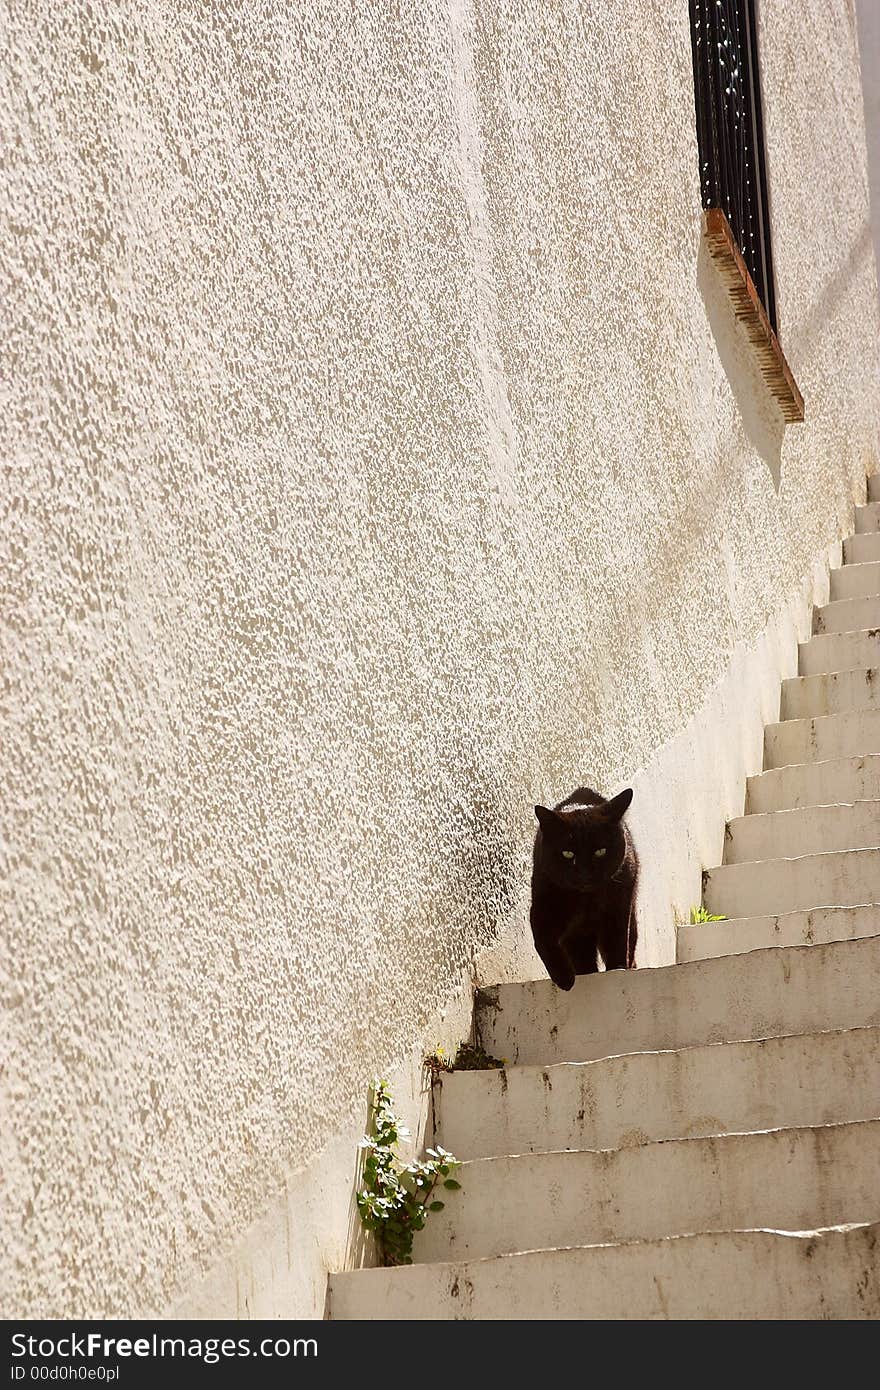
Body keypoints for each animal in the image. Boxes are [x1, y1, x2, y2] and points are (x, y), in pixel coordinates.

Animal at [528, 789, 639, 995]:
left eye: (600, 851)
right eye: (567, 853)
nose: (585, 873)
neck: (587, 901)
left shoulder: (618, 907)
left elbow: (617, 941)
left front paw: (617, 969)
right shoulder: (544, 904)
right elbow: (543, 941)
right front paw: (564, 978)